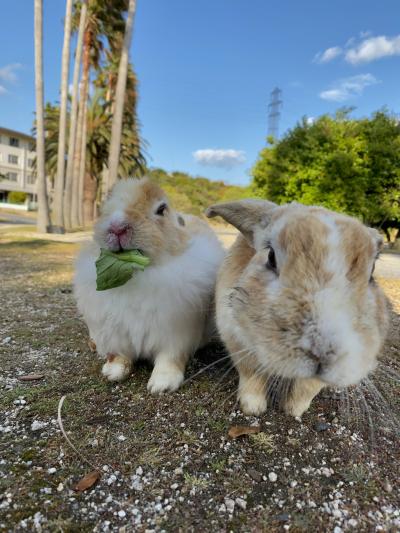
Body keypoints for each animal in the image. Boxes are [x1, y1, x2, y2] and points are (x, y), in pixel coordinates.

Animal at [74, 178, 225, 390]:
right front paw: (113, 373)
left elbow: (169, 358)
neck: (137, 273)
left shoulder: (176, 334)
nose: (117, 227)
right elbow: (119, 356)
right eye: (106, 208)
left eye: (161, 209)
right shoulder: (116, 335)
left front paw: (162, 384)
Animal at [208, 198, 390, 416]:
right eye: (270, 256)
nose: (323, 353)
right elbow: (251, 375)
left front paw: (293, 411)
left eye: (372, 273)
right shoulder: (236, 339)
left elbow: (307, 388)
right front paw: (253, 408)